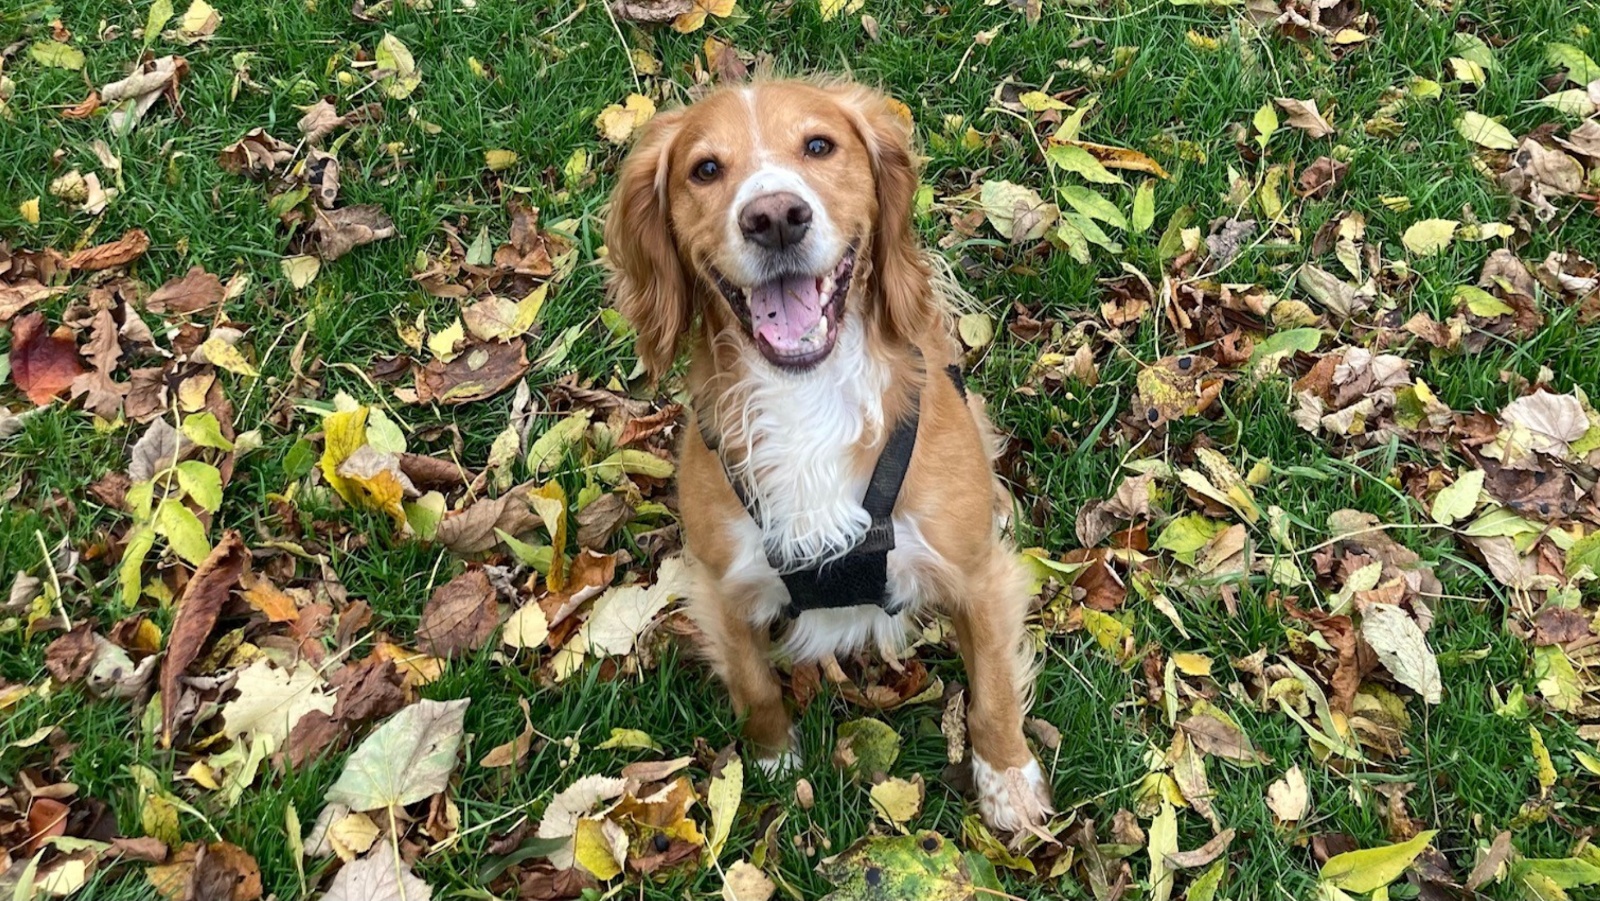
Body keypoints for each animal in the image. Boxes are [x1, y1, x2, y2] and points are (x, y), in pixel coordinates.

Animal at [601, 81, 1049, 838]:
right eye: (705, 169)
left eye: (818, 145)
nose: (775, 217)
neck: (806, 395)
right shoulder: (722, 587)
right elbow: (753, 685)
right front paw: (774, 758)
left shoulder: (976, 574)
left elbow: (991, 689)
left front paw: (1008, 779)